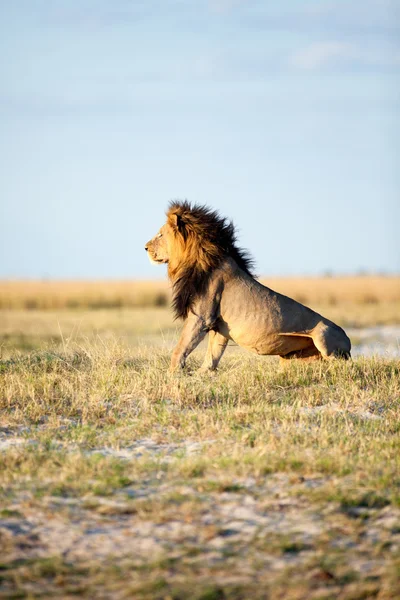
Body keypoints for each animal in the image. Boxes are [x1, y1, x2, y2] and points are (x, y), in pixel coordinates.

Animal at [145, 202, 350, 370]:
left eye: (160, 234)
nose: (145, 247)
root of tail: (348, 338)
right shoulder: (219, 327)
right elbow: (212, 358)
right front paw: (201, 377)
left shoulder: (202, 316)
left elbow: (180, 349)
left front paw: (173, 375)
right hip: (290, 359)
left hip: (323, 336)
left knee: (343, 364)